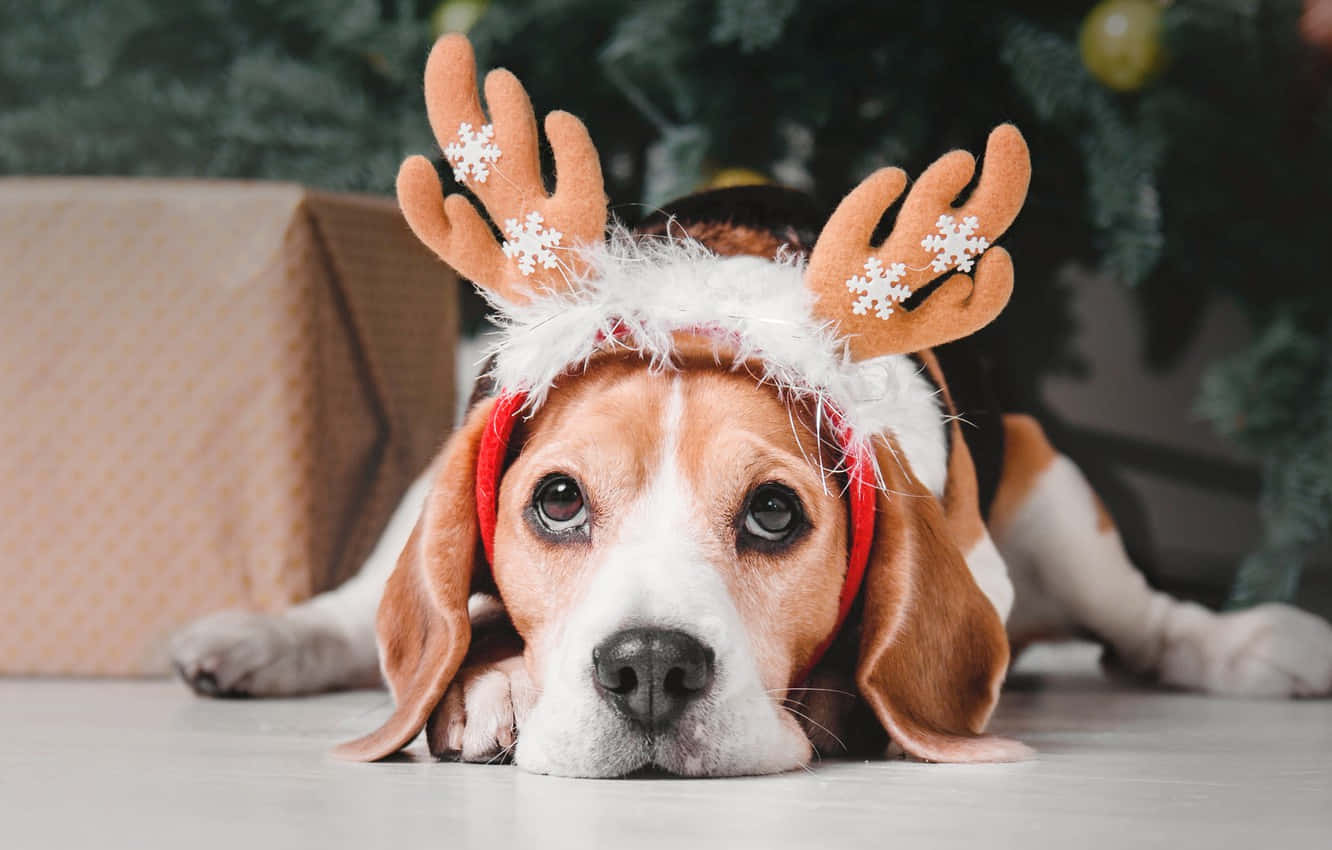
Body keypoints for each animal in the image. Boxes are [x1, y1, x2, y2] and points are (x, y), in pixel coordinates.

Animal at [169, 34, 1332, 778]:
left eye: (775, 514)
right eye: (557, 500)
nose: (649, 668)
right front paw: (492, 684)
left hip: (1055, 494)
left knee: (1151, 622)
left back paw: (1254, 645)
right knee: (355, 609)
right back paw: (261, 640)